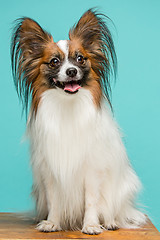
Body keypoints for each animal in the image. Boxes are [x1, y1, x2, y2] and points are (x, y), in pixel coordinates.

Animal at [10, 8, 146, 234]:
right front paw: (52, 222)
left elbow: (91, 200)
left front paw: (90, 224)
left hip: (122, 189)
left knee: (113, 209)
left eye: (80, 59)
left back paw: (110, 222)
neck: (68, 105)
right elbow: (55, 200)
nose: (71, 71)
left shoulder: (92, 170)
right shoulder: (51, 171)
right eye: (54, 62)